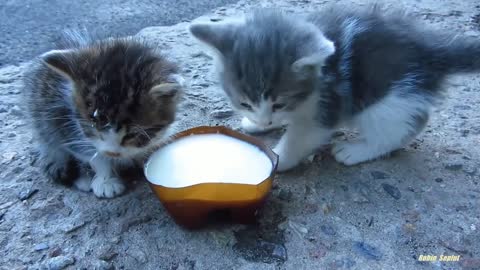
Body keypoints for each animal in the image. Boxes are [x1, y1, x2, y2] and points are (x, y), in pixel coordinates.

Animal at [22, 32, 185, 197]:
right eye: (92, 125)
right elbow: (92, 154)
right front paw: (106, 180)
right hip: (42, 120)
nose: (112, 153)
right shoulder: (63, 121)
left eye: (132, 134)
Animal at [190, 6, 480, 171]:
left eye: (279, 102)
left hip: (387, 100)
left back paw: (358, 150)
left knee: (403, 126)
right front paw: (257, 124)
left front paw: (278, 160)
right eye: (244, 103)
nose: (264, 119)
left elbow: (301, 136)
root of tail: (428, 48)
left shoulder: (327, 105)